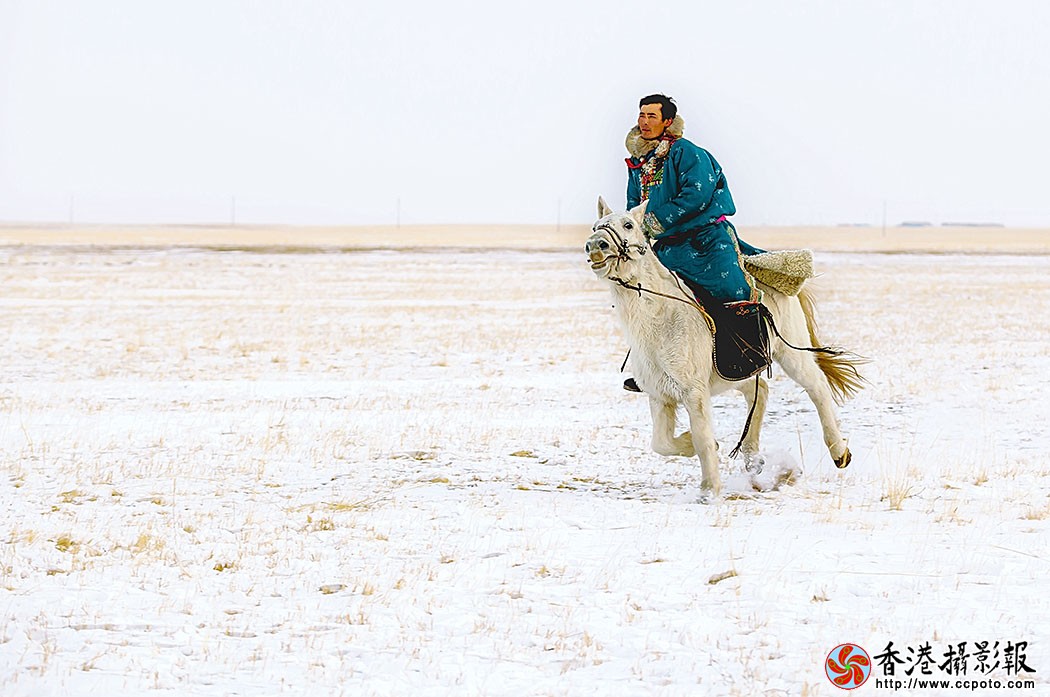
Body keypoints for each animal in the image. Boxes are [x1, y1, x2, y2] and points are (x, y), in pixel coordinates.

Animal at [586, 197, 865, 501]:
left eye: (628, 224)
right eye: (595, 226)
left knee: (817, 388)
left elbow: (703, 438)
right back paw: (753, 460)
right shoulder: (659, 394)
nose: (596, 246)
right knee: (759, 391)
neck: (661, 315)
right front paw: (695, 448)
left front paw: (709, 490)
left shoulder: (694, 392)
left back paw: (840, 452)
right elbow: (661, 443)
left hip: (791, 355)